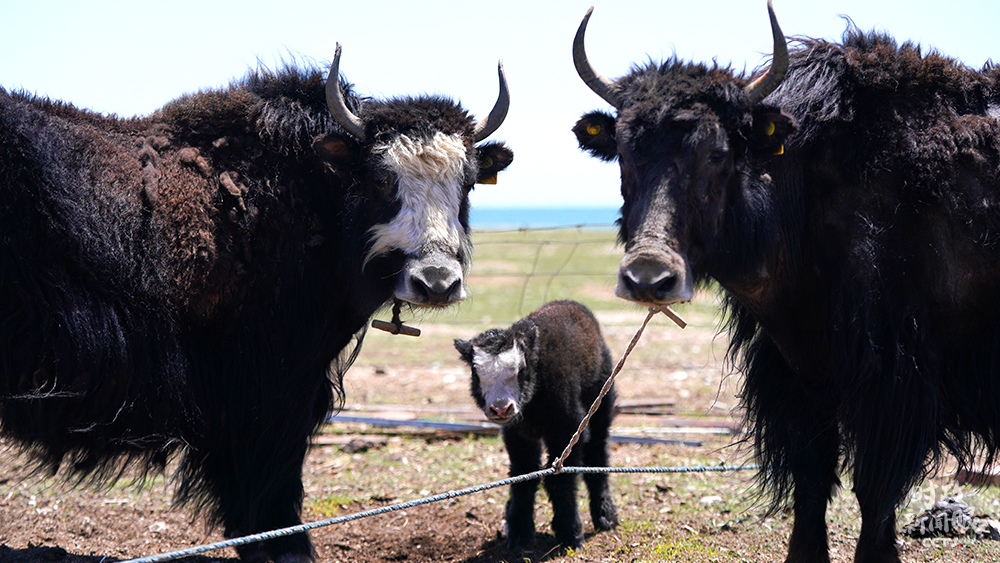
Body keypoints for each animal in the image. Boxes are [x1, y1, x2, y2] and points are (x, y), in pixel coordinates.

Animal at [454, 302, 616, 552]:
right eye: (476, 373)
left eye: (520, 370)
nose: (500, 408)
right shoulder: (517, 435)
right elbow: (523, 476)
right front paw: (519, 534)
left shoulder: (568, 428)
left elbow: (560, 480)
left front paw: (570, 534)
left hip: (601, 400)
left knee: (597, 454)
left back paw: (605, 516)